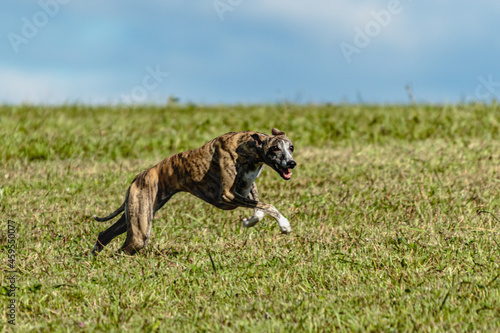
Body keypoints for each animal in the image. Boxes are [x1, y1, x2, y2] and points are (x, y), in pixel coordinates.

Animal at [92, 127, 296, 254]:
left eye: (291, 147)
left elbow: (259, 209)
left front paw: (248, 222)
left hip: (135, 215)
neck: (248, 147)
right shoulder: (227, 195)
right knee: (121, 250)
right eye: (275, 148)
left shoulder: (246, 187)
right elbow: (267, 205)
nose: (292, 163)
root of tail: (138, 177)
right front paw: (284, 225)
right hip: (140, 230)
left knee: (104, 234)